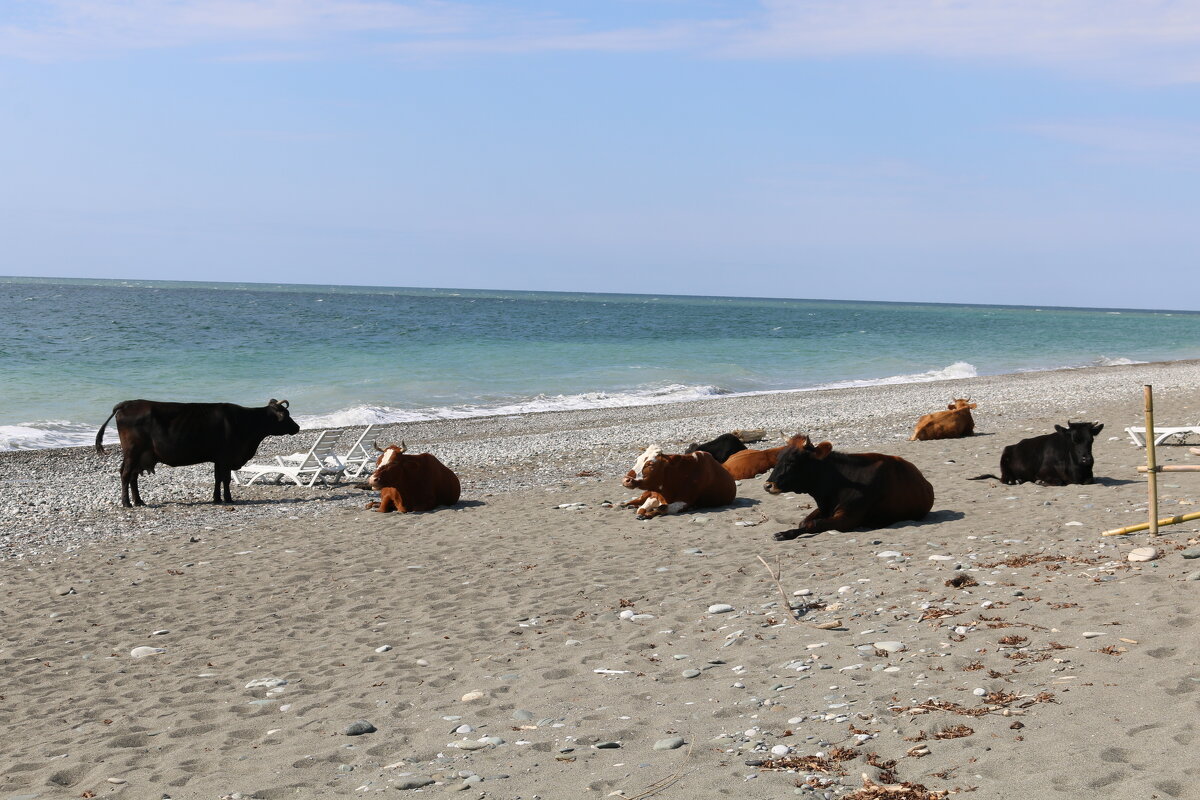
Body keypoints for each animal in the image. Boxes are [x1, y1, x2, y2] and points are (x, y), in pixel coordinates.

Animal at [94, 398, 300, 506]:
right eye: (286, 416)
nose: (297, 427)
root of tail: (127, 403)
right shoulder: (226, 457)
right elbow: (225, 479)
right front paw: (228, 499)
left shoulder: (219, 459)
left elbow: (219, 478)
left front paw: (217, 498)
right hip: (133, 452)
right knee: (125, 474)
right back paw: (127, 503)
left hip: (140, 455)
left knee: (133, 476)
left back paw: (139, 501)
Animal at [763, 434, 931, 542]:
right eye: (778, 458)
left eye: (792, 461)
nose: (767, 485)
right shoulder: (824, 508)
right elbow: (804, 522)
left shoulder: (848, 518)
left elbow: (813, 524)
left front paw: (783, 534)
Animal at [969, 419, 1099, 489]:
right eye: (1073, 440)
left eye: (1091, 440)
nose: (1087, 459)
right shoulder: (1042, 472)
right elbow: (1058, 482)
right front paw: (1040, 482)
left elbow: (1089, 480)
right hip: (1005, 466)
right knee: (1006, 480)